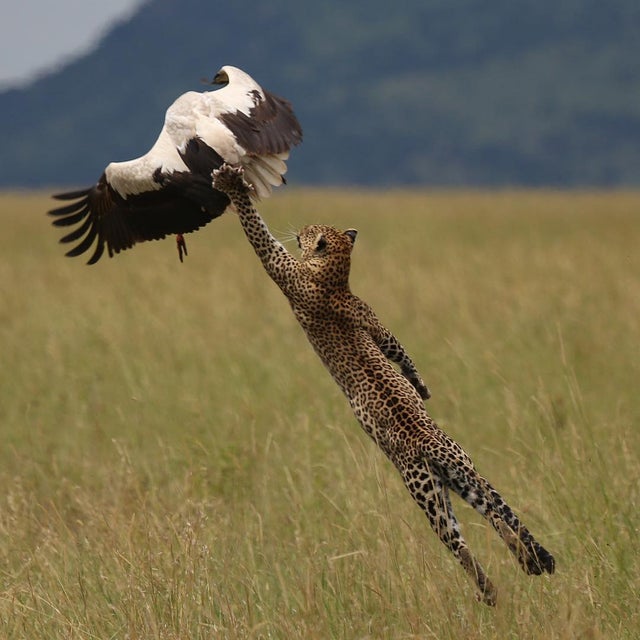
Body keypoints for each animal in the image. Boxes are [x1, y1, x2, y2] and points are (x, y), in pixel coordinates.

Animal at [212, 162, 552, 604]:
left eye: (310, 230)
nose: (300, 228)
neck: (335, 277)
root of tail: (431, 443)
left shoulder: (282, 268)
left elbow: (259, 234)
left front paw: (233, 186)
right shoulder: (372, 319)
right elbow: (396, 346)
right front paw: (421, 388)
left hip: (423, 490)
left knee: (461, 542)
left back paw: (490, 590)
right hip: (459, 477)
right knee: (496, 512)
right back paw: (528, 561)